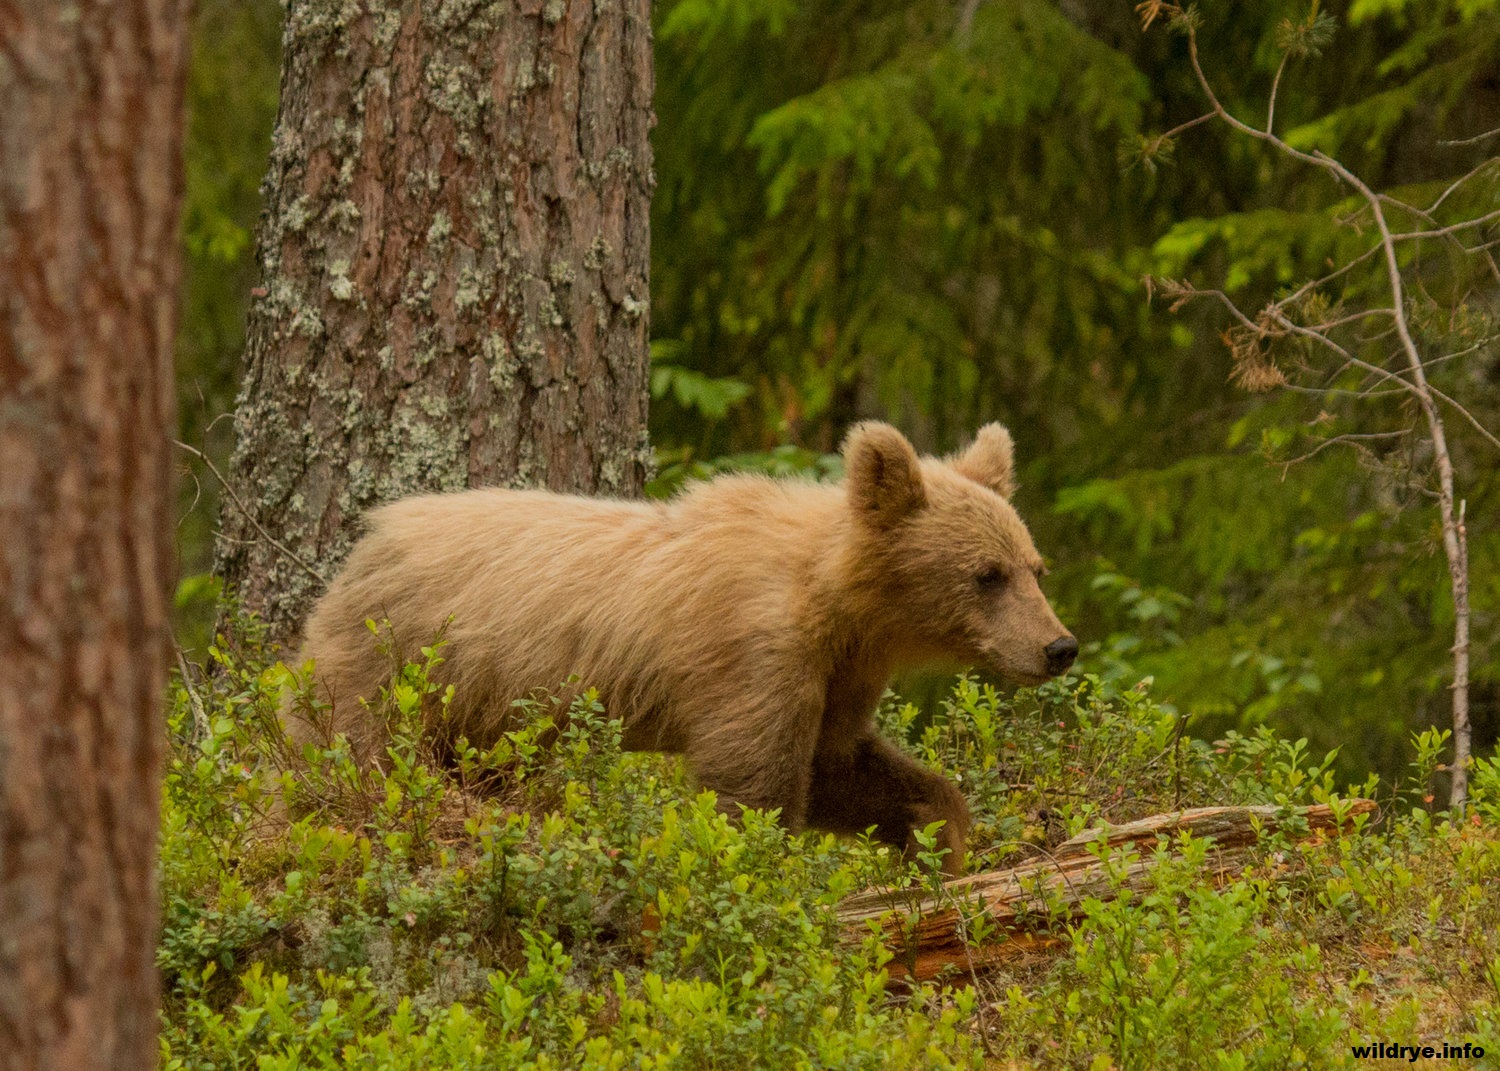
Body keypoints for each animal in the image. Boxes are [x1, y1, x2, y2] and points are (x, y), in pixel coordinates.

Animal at [292, 420, 1074, 870]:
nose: (1059, 647)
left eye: (1035, 567)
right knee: (344, 749)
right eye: (987, 575)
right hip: (393, 660)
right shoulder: (752, 653)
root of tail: (367, 540)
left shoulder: (839, 674)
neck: (836, 603)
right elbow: (753, 784)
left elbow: (840, 765)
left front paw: (939, 835)